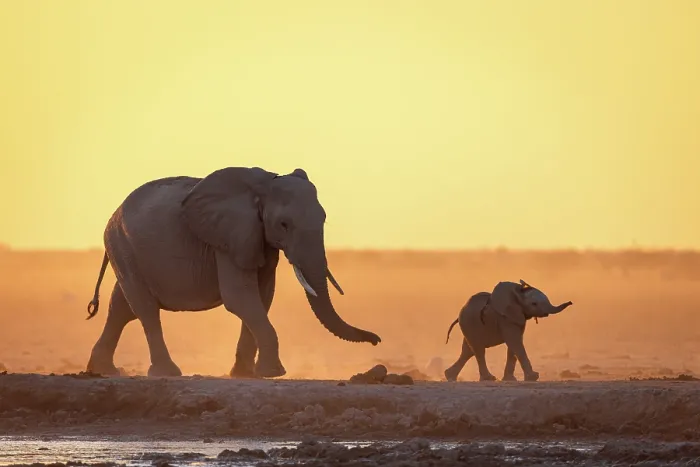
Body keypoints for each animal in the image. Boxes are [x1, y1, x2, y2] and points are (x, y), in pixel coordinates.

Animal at [84, 167, 381, 379]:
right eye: (284, 224)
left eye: (323, 219)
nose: (377, 340)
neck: (264, 185)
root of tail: (114, 214)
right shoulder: (228, 237)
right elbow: (239, 297)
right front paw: (274, 374)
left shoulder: (257, 238)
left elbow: (262, 296)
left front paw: (247, 374)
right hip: (122, 245)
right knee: (144, 309)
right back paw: (166, 373)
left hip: (126, 251)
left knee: (121, 307)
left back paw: (102, 371)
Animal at [443, 280, 572, 382]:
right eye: (534, 304)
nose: (571, 302)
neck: (518, 294)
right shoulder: (505, 318)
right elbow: (515, 342)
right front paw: (533, 378)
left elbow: (514, 344)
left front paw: (511, 379)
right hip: (469, 323)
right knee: (478, 350)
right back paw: (489, 379)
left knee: (468, 351)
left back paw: (450, 376)